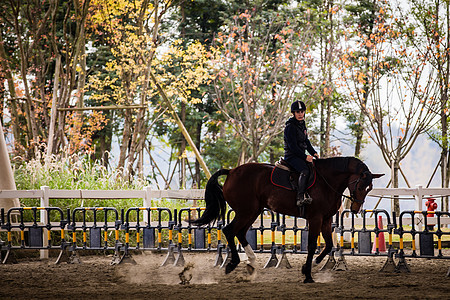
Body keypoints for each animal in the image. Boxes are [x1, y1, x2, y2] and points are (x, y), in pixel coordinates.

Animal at [191, 157, 384, 284]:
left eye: (370, 188)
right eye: (360, 186)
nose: (356, 209)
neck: (326, 181)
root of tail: (232, 171)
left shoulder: (326, 220)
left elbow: (329, 245)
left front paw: (314, 264)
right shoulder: (315, 219)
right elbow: (312, 245)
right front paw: (308, 274)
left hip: (252, 212)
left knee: (240, 232)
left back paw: (251, 263)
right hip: (246, 211)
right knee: (230, 231)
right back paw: (233, 263)